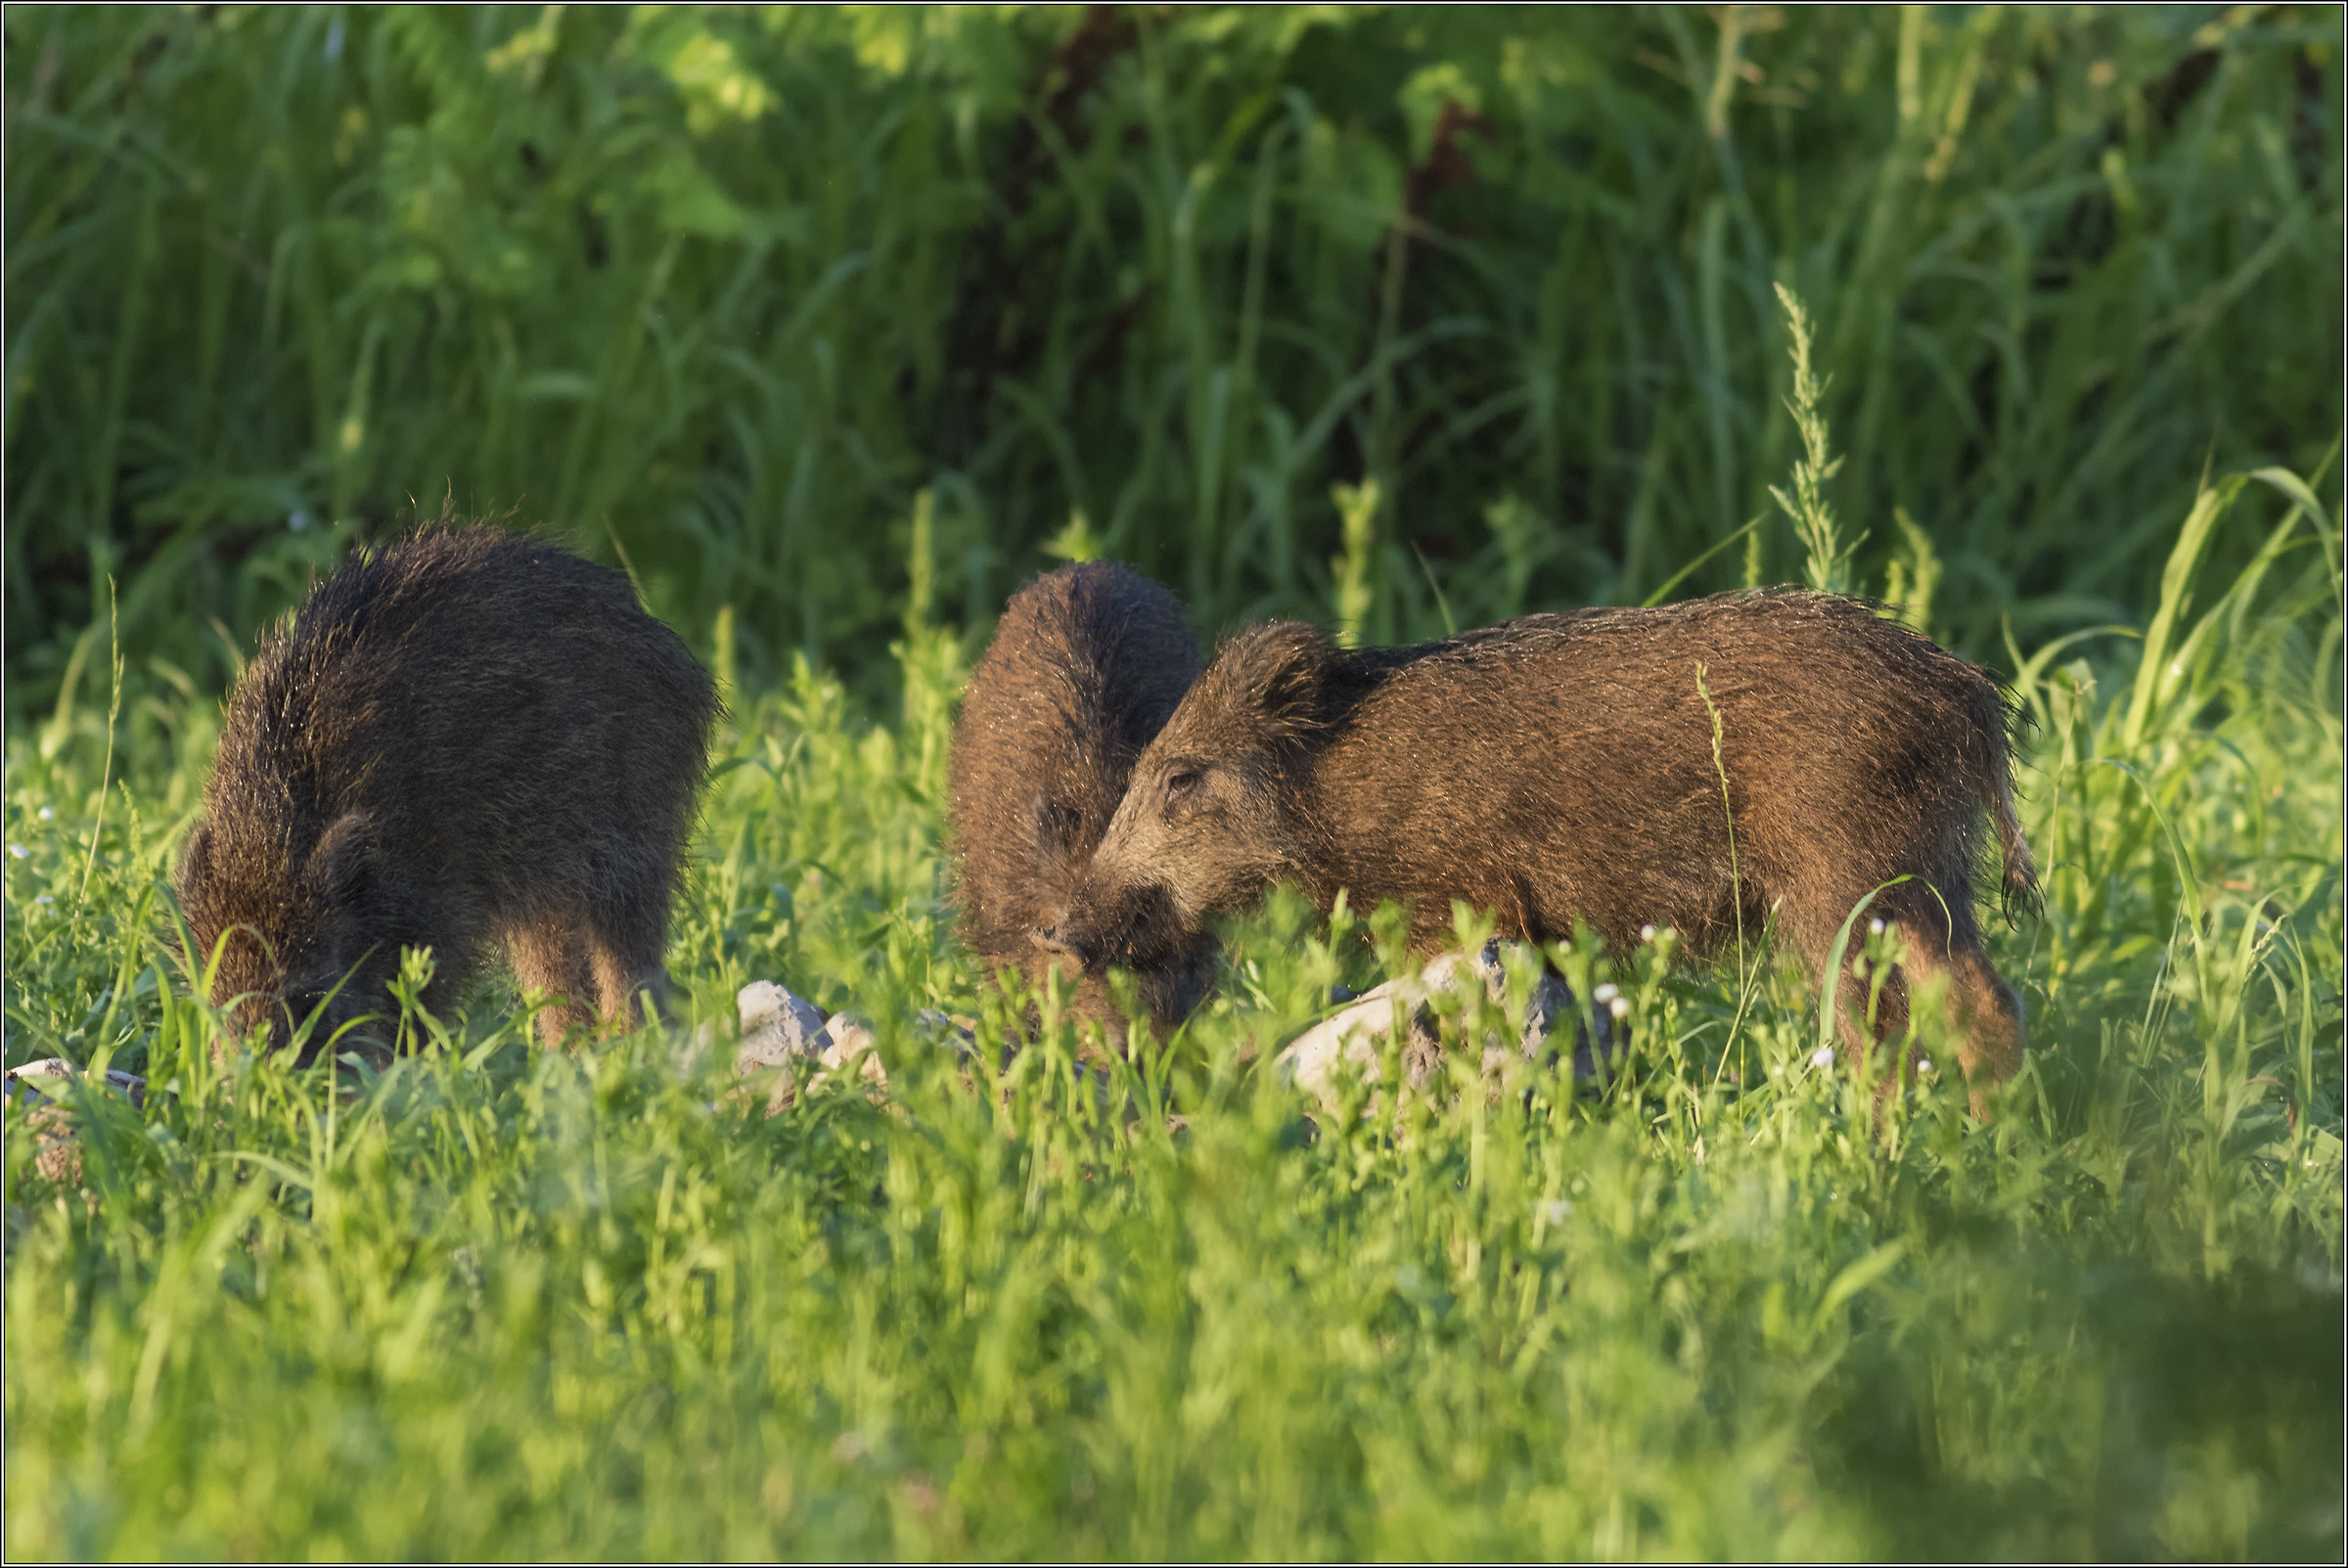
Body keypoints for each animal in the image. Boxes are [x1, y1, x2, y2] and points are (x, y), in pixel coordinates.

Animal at [172, 524, 718, 1060]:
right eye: (217, 1000)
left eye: (309, 993)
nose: (253, 1079)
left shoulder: (442, 917)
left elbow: (415, 1010)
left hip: (634, 842)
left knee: (629, 958)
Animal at [1040, 590, 2040, 1112]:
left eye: (1179, 778)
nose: (1057, 932)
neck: (1337, 798)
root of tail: (1972, 696)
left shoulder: (1457, 904)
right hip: (1923, 877)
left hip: (1852, 878)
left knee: (1931, 1017)